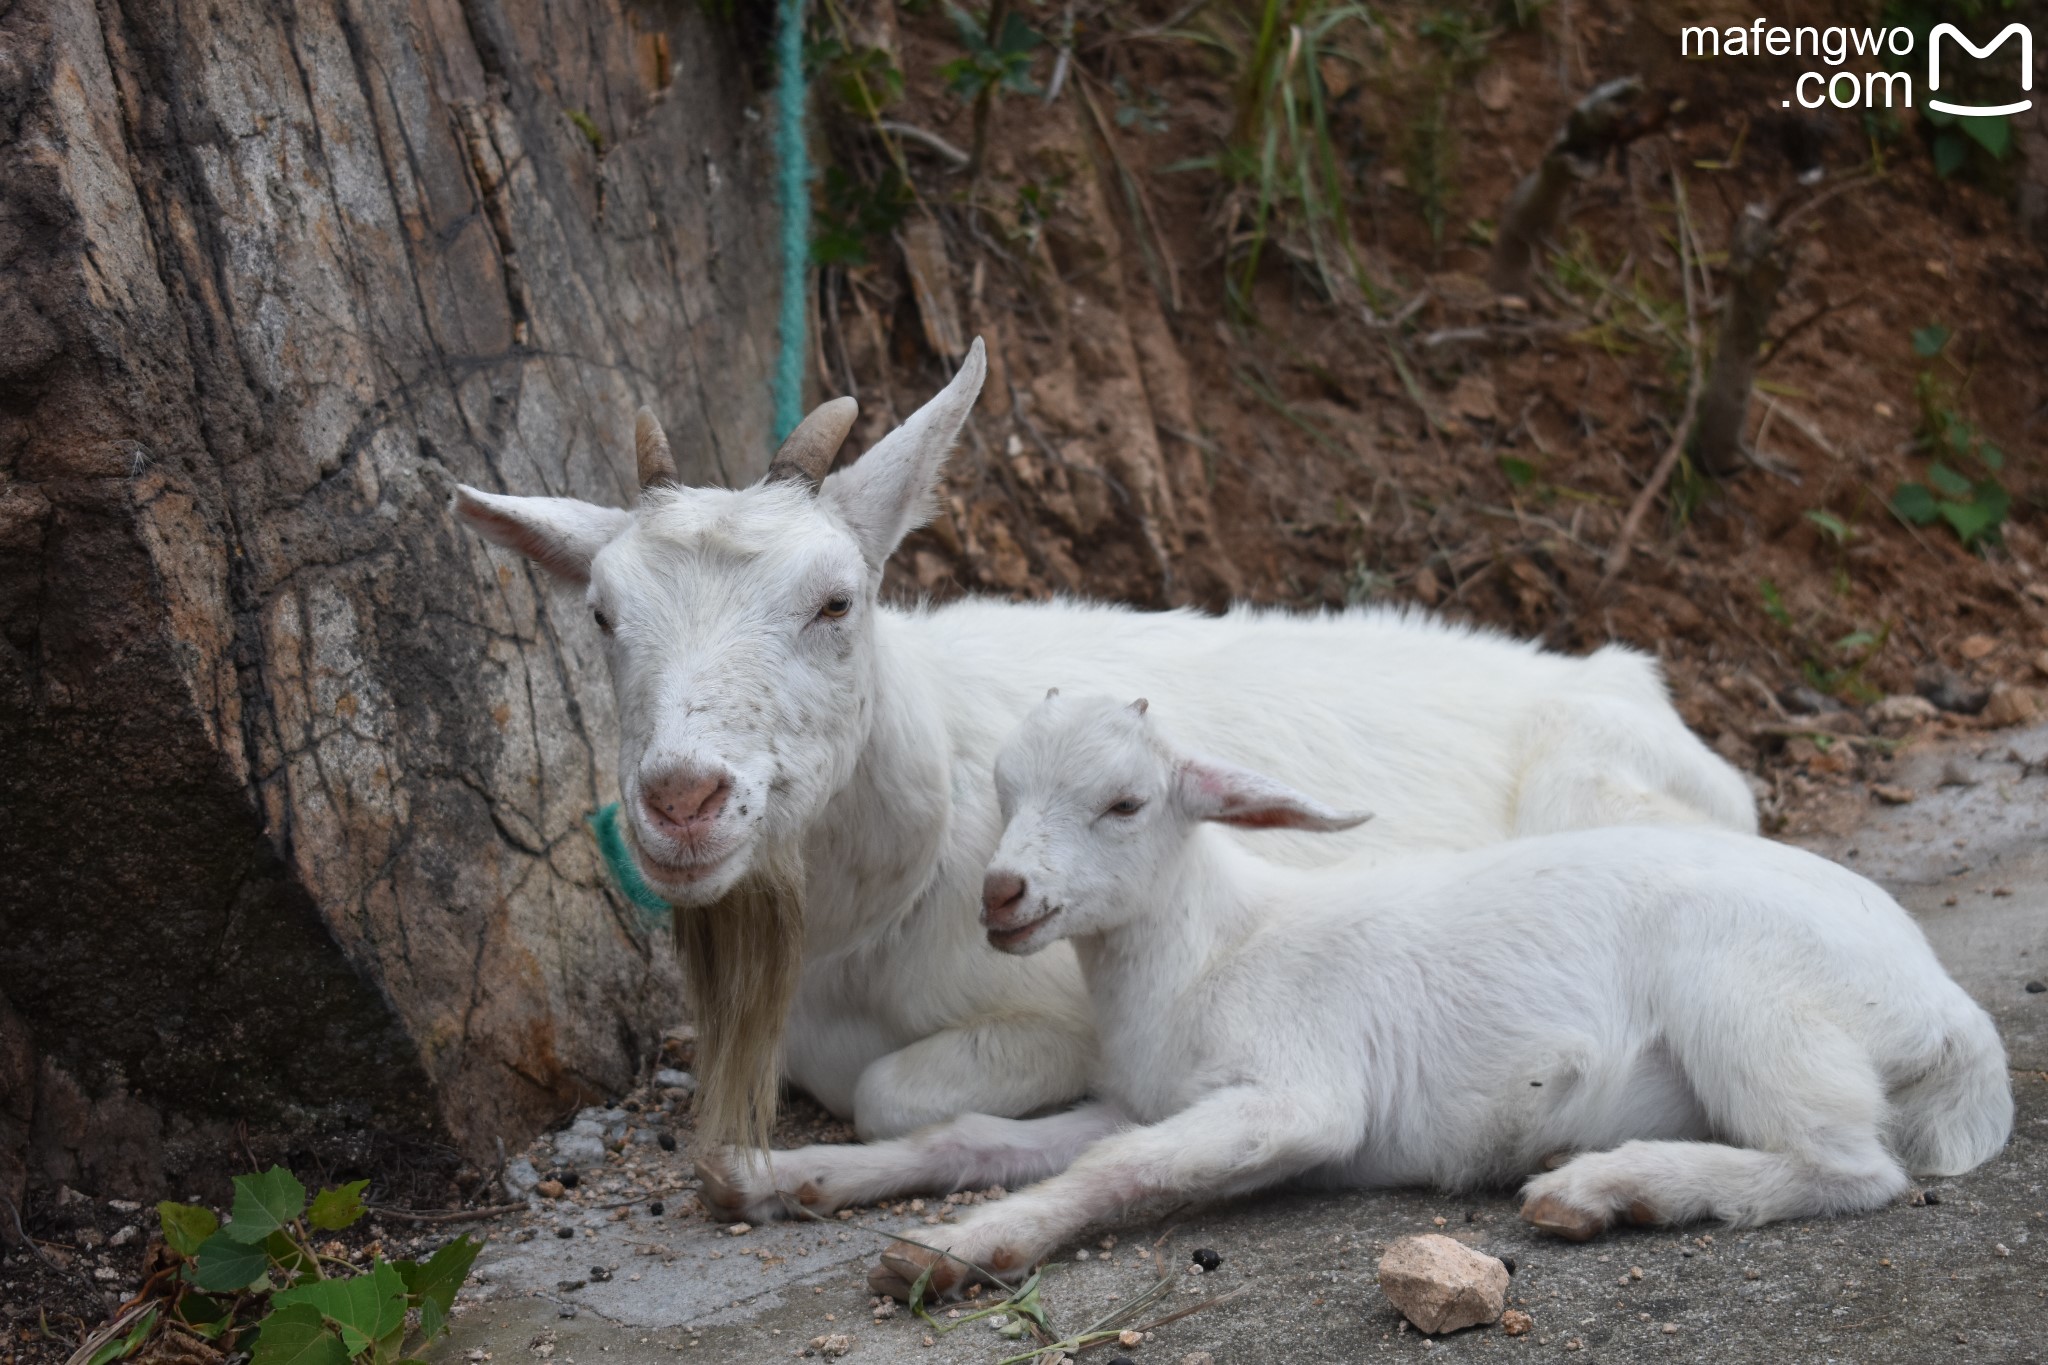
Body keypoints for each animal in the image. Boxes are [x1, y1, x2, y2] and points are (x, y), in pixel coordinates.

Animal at [452, 335, 1761, 1162]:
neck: (887, 889)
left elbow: (888, 1095)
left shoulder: (1054, 1013)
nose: (681, 800)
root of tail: (1622, 679)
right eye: (601, 615)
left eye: (835, 601)